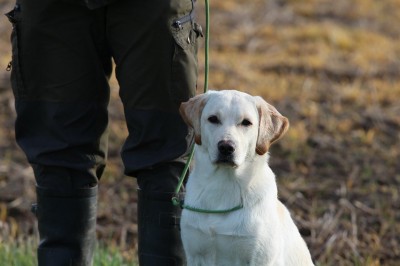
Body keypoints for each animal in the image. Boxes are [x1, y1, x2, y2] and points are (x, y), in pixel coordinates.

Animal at [180, 90, 314, 264]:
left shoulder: (259, 258)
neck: (223, 186)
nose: (226, 147)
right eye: (213, 119)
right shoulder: (196, 254)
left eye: (246, 123)